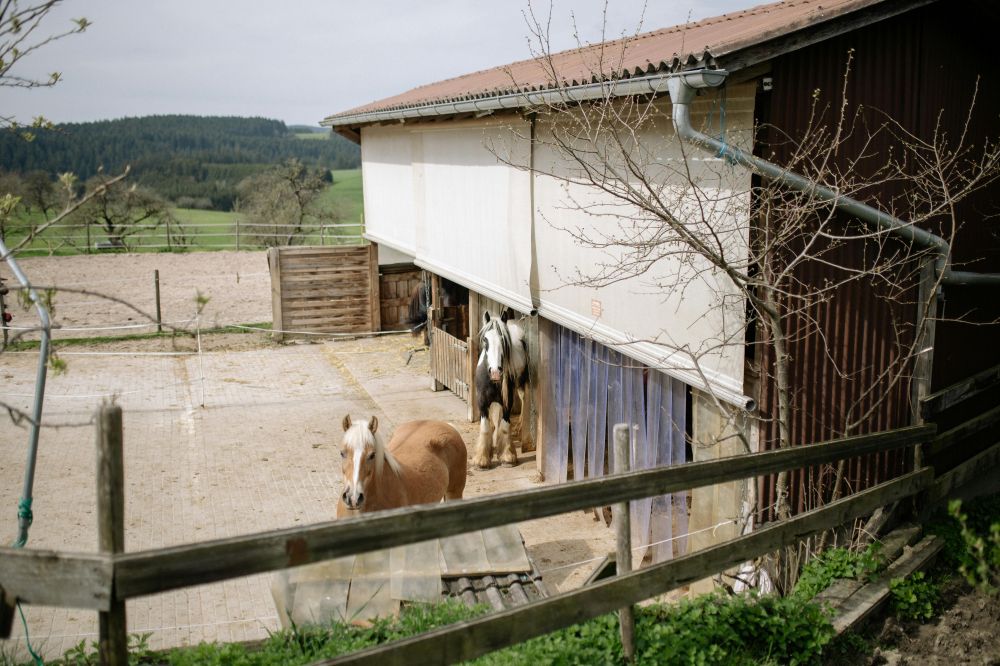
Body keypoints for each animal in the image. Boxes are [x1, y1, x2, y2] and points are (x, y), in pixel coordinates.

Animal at [470, 310, 528, 466]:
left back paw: (520, 426)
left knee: (523, 399)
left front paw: (507, 455)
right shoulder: (482, 402)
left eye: (503, 340)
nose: (495, 372)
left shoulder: (507, 401)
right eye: (485, 339)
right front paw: (482, 458)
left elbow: (505, 425)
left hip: (520, 384)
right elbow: (485, 427)